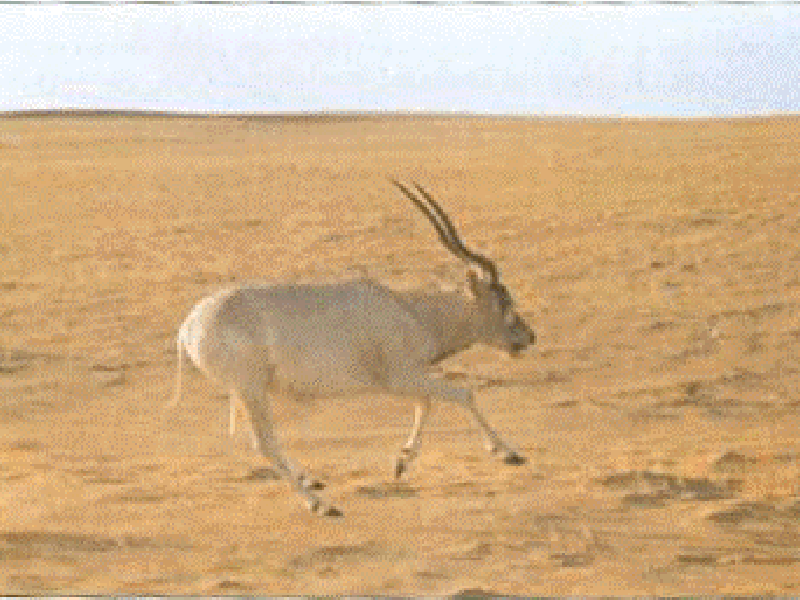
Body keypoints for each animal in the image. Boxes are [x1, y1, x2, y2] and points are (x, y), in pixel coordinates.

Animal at [169, 179, 536, 516]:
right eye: (504, 301)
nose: (528, 337)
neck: (411, 311)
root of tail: (189, 327)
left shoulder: (409, 378)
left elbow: (426, 403)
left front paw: (402, 463)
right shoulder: (400, 377)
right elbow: (462, 394)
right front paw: (509, 453)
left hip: (251, 392)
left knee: (265, 439)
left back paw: (311, 481)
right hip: (251, 389)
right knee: (264, 442)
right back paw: (320, 505)